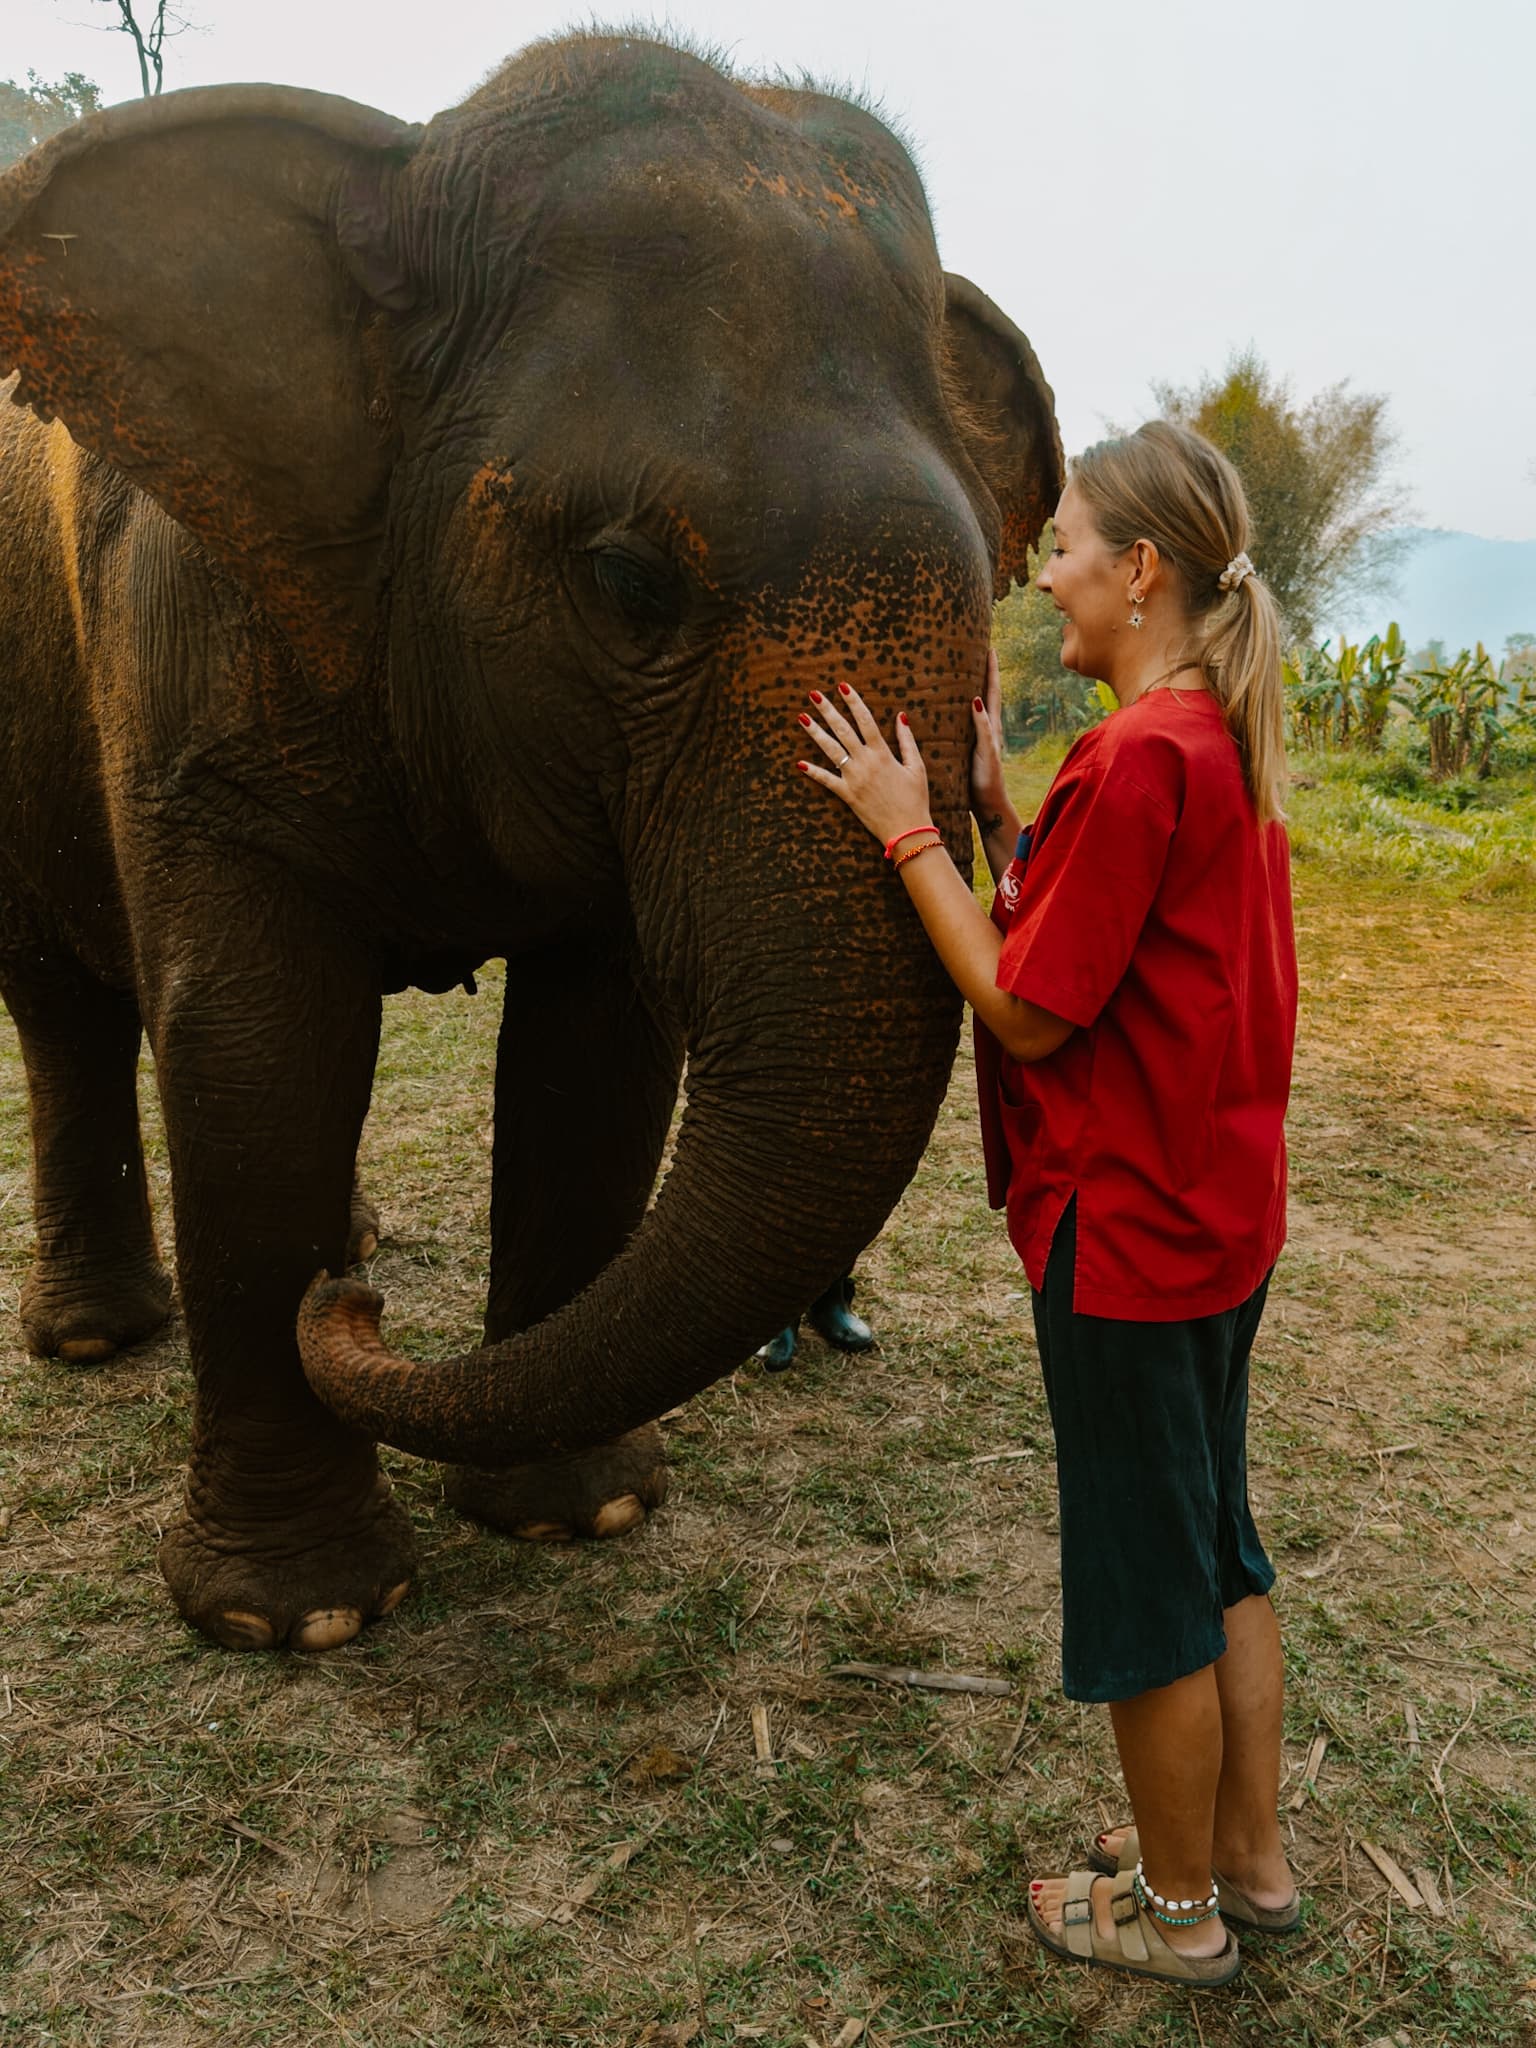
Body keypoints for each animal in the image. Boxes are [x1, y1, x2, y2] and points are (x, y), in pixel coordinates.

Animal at [0, 32, 1056, 1654]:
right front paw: (300, 1620)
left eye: (986, 600)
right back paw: (111, 1337)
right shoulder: (179, 617)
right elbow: (256, 1045)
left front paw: (584, 1516)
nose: (349, 1319)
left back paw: (350, 1245)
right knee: (61, 1004)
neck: (408, 168)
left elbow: (596, 1055)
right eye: (625, 582)